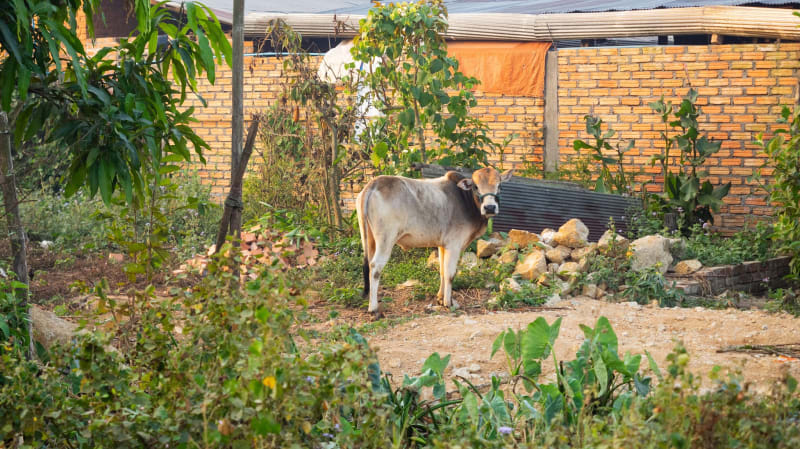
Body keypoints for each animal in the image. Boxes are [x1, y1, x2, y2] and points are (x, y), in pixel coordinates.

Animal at [354, 166, 512, 316]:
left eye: (499, 186)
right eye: (476, 187)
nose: (490, 207)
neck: (465, 199)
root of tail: (373, 184)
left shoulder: (442, 246)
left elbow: (442, 271)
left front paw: (440, 298)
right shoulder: (454, 245)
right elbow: (450, 274)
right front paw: (448, 303)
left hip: (369, 239)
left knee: (368, 265)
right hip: (386, 239)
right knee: (375, 267)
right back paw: (373, 308)